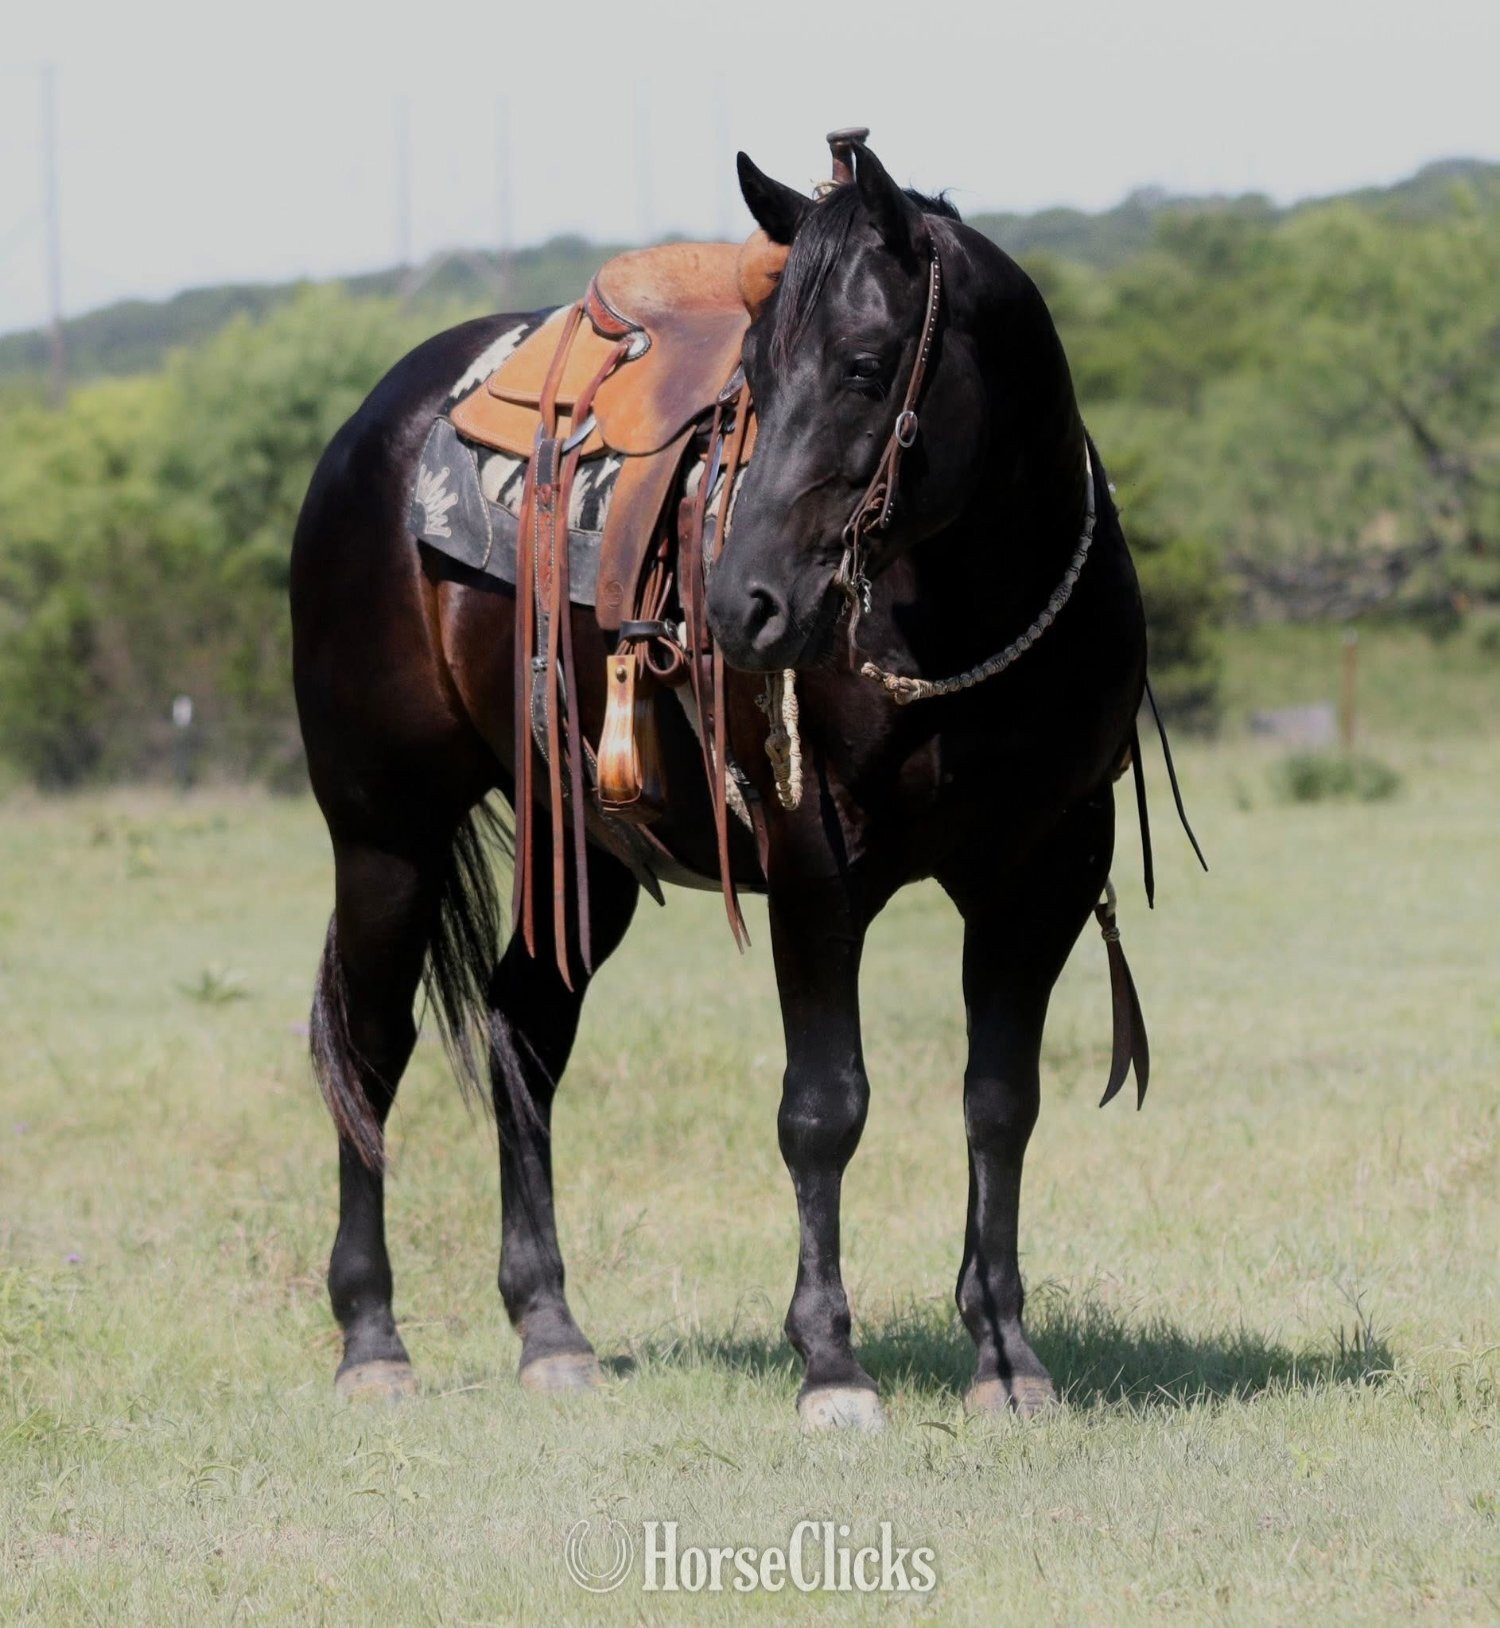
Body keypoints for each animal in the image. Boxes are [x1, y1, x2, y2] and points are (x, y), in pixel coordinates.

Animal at [291, 136, 1151, 1430]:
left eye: (863, 366)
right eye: (751, 371)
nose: (747, 603)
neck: (959, 614)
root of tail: (370, 431)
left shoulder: (1042, 871)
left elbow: (1000, 1099)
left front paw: (1006, 1354)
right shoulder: (813, 869)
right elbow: (825, 1107)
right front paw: (831, 1362)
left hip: (583, 852)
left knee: (521, 1030)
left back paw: (551, 1329)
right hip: (385, 834)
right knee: (371, 1049)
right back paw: (373, 1339)